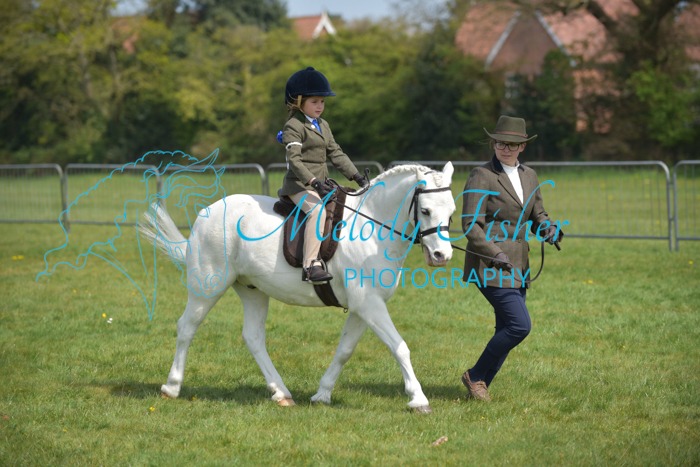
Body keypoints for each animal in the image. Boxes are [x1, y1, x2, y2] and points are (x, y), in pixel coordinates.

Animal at [137, 162, 456, 413]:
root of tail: (208, 211)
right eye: (425, 210)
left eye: (451, 212)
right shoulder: (369, 304)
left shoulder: (362, 307)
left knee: (253, 337)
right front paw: (418, 399)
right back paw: (172, 387)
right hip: (208, 286)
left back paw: (281, 393)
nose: (442, 255)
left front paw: (322, 394)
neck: (373, 230)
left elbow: (345, 350)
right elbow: (399, 347)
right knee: (187, 328)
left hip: (252, 290)